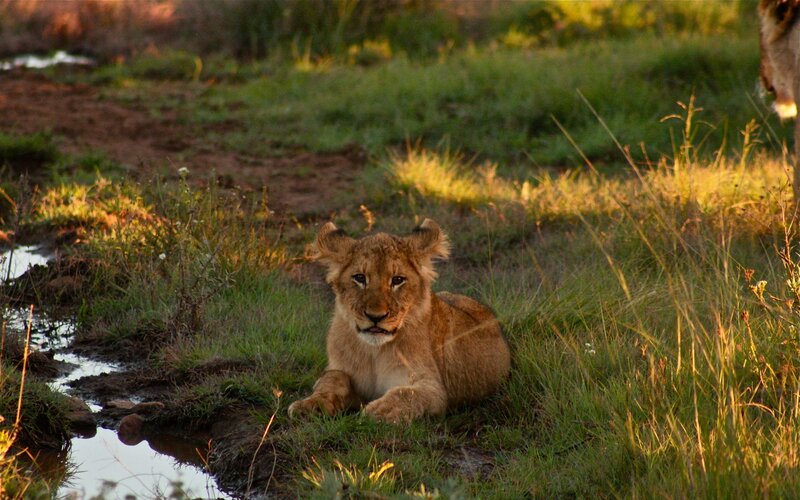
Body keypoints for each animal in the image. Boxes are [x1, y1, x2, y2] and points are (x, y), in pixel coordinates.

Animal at [288, 219, 511, 423]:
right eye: (359, 278)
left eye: (397, 280)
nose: (375, 316)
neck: (373, 352)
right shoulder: (340, 370)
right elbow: (331, 378)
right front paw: (310, 404)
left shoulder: (434, 388)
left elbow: (407, 393)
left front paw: (379, 411)